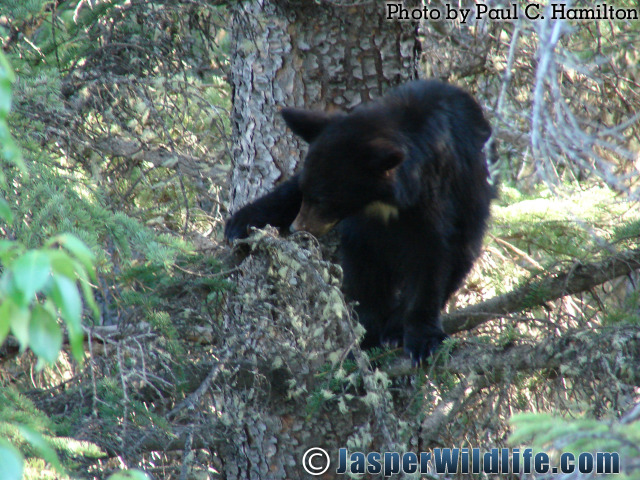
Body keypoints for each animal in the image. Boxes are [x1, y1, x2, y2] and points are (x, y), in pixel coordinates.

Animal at [225, 80, 493, 364]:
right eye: (308, 192)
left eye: (324, 199)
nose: (299, 228)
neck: (382, 203)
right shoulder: (361, 224)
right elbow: (362, 266)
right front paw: (367, 334)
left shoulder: (432, 199)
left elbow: (430, 259)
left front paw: (421, 339)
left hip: (472, 200)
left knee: (462, 254)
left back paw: (396, 327)